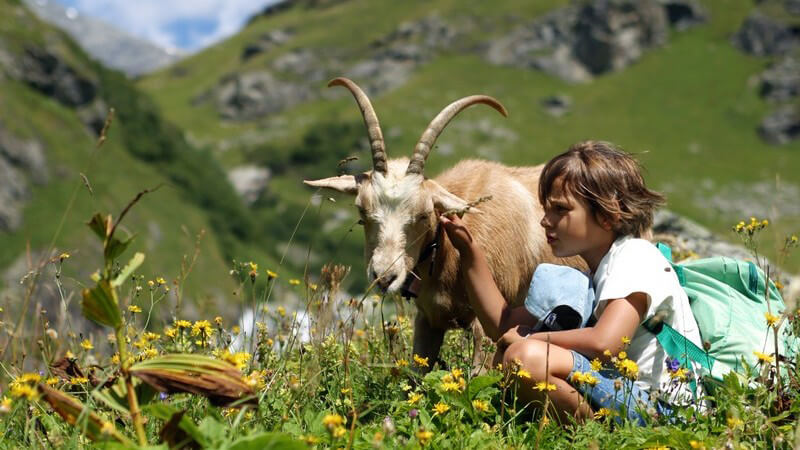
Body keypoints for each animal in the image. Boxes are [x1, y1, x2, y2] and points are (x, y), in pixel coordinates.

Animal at [304, 78, 580, 370]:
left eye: (424, 214)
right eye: (361, 209)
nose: (384, 277)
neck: (449, 249)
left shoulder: (489, 327)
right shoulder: (428, 320)